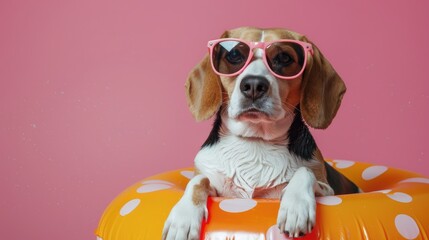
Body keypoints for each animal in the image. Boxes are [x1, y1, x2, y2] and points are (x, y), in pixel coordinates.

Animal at [162, 27, 356, 239]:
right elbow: (198, 180)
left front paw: (296, 206)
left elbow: (304, 171)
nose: (254, 85)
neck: (255, 139)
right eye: (234, 55)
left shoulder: (327, 190)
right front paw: (183, 218)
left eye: (284, 57)